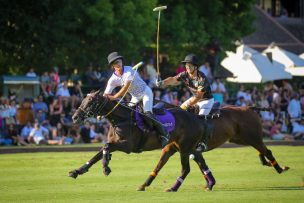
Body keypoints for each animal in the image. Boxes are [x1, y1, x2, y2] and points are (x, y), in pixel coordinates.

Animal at [69, 89, 290, 191]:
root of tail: (250, 107)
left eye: (91, 101)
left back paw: (280, 168)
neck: (122, 118)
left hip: (246, 137)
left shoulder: (128, 146)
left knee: (266, 150)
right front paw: (77, 171)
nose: (74, 117)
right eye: (83, 100)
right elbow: (98, 153)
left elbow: (105, 147)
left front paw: (106, 167)